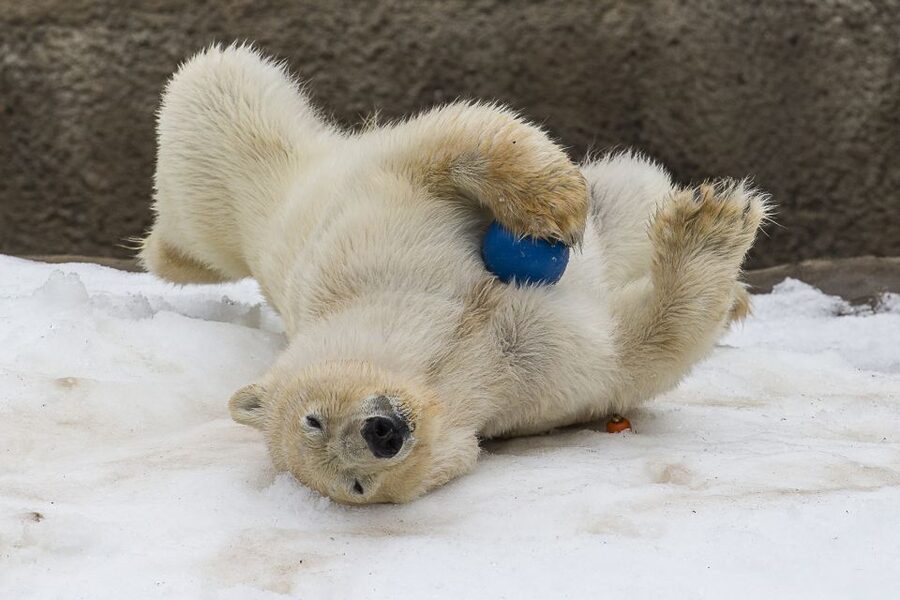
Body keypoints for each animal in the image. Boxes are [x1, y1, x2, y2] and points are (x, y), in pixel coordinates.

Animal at [140, 44, 768, 504]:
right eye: (357, 485)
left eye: (312, 420)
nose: (382, 433)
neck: (442, 348)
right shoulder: (528, 387)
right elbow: (638, 350)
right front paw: (713, 228)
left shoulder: (360, 238)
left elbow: (445, 144)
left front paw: (555, 204)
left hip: (258, 169)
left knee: (219, 88)